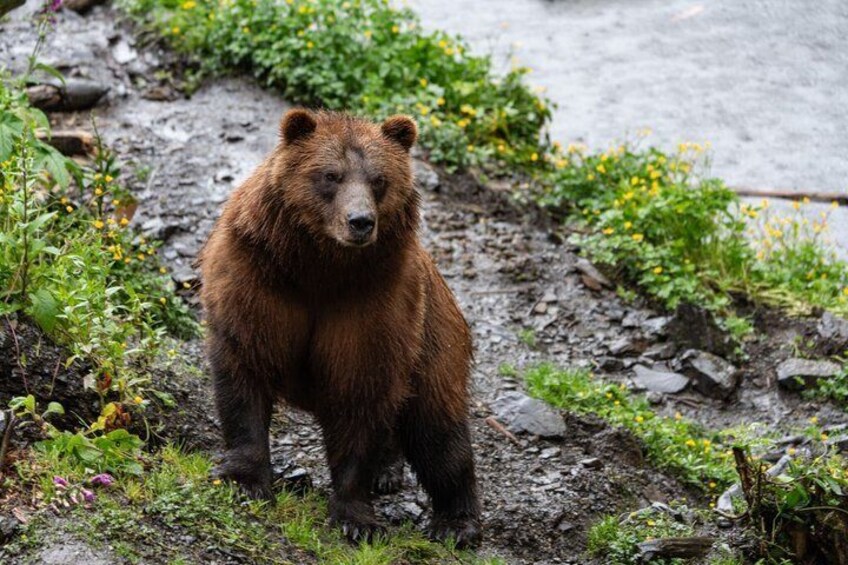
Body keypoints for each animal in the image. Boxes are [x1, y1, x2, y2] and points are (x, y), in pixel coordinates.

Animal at [197, 109, 481, 548]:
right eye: (331, 175)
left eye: (379, 179)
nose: (360, 222)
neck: (320, 268)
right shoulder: (259, 278)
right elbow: (245, 370)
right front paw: (245, 480)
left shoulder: (372, 306)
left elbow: (358, 395)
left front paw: (356, 517)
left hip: (434, 339)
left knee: (437, 429)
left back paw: (455, 521)